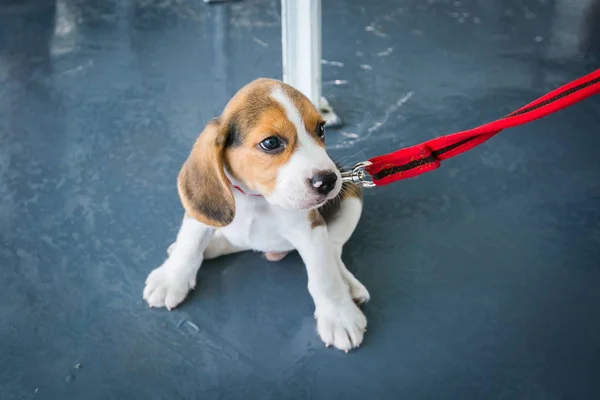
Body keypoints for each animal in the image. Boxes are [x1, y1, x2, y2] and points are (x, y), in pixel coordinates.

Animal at [144, 77, 370, 350]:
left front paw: (339, 315)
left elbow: (324, 276)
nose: (328, 181)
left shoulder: (311, 229)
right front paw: (171, 278)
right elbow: (189, 243)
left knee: (334, 249)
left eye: (321, 130)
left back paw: (349, 285)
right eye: (271, 143)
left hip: (352, 198)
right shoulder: (200, 214)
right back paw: (209, 247)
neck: (257, 198)